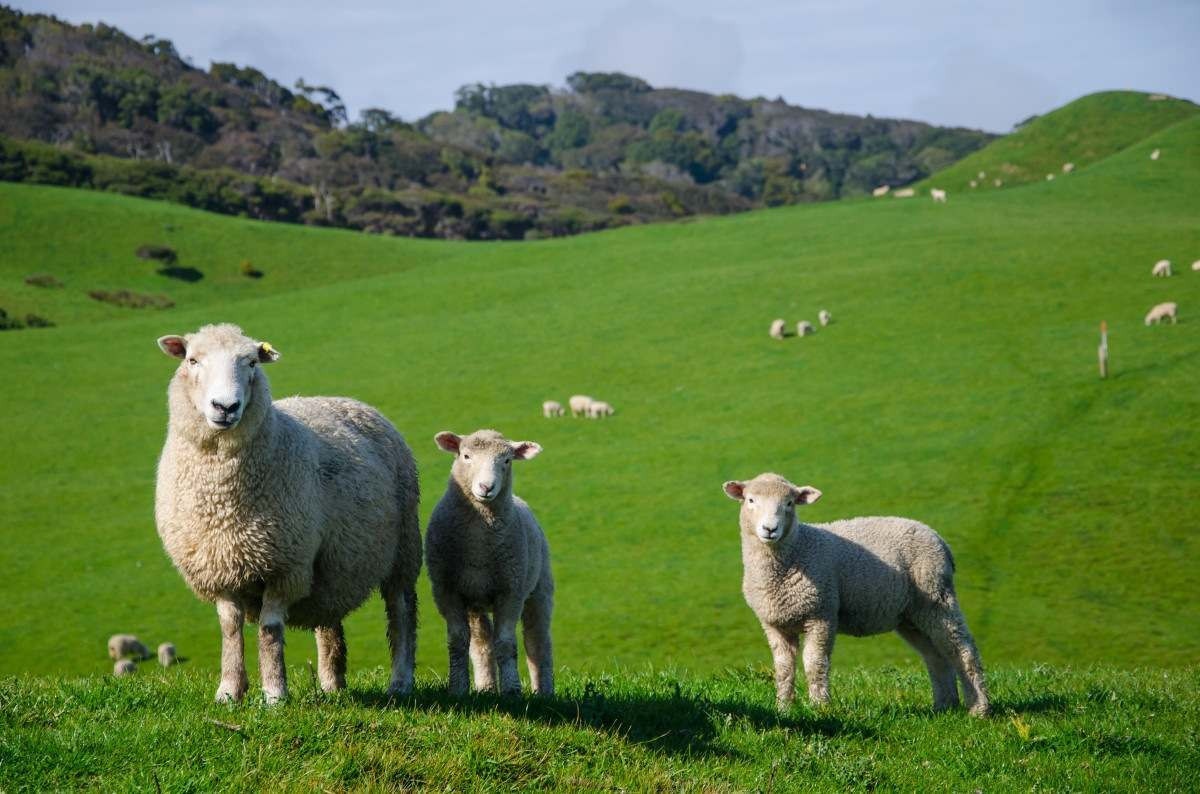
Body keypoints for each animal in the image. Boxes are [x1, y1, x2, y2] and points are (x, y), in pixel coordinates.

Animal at [153, 323, 422, 705]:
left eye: (251, 362)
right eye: (192, 360)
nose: (225, 407)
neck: (222, 500)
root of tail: (351, 401)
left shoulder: (285, 566)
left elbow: (269, 630)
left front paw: (275, 694)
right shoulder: (218, 566)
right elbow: (230, 629)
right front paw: (229, 691)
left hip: (403, 550)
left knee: (401, 612)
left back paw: (400, 681)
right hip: (332, 566)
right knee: (330, 621)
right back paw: (331, 684)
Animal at [427, 431, 552, 700]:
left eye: (507, 460)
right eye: (466, 456)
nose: (486, 487)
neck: (479, 545)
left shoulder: (511, 591)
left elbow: (505, 643)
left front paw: (512, 691)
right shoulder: (447, 590)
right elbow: (458, 641)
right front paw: (457, 689)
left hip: (539, 588)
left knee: (538, 642)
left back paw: (544, 692)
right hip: (476, 600)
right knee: (482, 643)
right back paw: (485, 687)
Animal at [720, 474, 993, 719]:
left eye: (789, 503)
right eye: (751, 500)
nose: (770, 529)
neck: (796, 550)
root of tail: (939, 540)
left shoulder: (822, 614)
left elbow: (815, 664)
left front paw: (820, 708)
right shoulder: (774, 624)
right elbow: (783, 669)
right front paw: (783, 710)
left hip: (936, 597)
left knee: (962, 649)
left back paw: (979, 708)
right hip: (911, 615)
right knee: (936, 656)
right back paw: (944, 707)